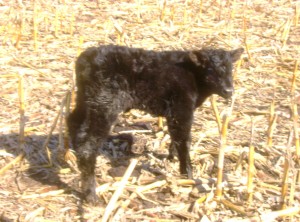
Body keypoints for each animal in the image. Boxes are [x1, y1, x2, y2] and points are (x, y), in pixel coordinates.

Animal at [67, 44, 243, 203]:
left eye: (230, 69)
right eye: (211, 70)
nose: (229, 91)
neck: (193, 75)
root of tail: (85, 58)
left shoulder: (175, 114)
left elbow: (176, 137)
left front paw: (172, 156)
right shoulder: (181, 109)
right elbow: (184, 139)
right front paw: (187, 175)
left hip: (85, 100)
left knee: (72, 120)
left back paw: (71, 152)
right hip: (104, 104)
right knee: (88, 145)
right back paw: (91, 195)